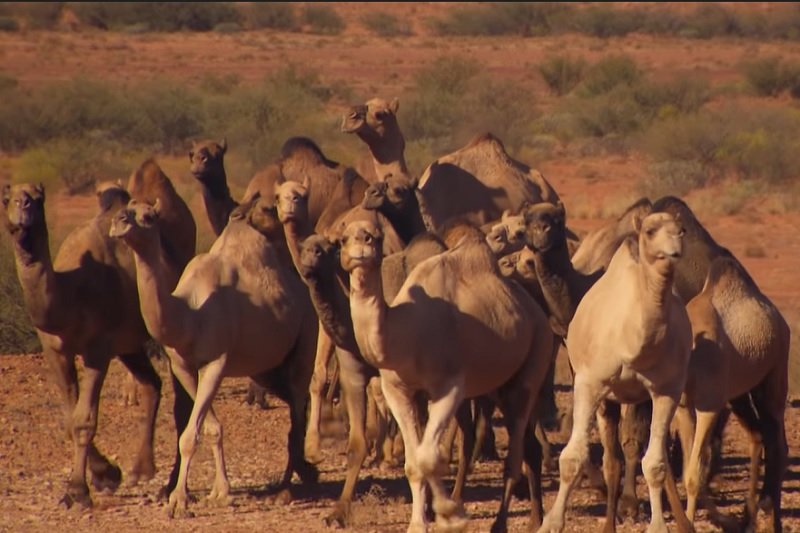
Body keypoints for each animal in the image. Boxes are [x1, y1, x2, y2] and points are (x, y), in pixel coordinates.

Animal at [1, 182, 164, 508]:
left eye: (38, 198)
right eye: (6, 198)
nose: (24, 207)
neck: (69, 294)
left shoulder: (97, 349)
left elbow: (84, 420)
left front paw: (78, 490)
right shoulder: (55, 351)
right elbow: (69, 418)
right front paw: (106, 475)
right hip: (129, 346)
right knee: (152, 383)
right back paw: (141, 470)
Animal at [110, 197, 322, 516]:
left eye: (148, 217)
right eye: (126, 207)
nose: (119, 221)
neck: (189, 315)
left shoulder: (215, 363)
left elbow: (190, 435)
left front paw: (178, 501)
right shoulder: (183, 367)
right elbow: (211, 428)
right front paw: (220, 492)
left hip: (307, 336)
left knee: (296, 412)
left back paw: (285, 489)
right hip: (266, 368)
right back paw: (306, 472)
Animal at [340, 217, 552, 532]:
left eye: (376, 237)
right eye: (342, 238)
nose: (362, 244)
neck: (405, 332)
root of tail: (538, 312)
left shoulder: (449, 386)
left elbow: (428, 458)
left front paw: (451, 513)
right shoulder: (397, 390)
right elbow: (413, 464)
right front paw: (418, 524)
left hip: (535, 358)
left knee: (513, 458)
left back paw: (501, 524)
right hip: (499, 384)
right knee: (529, 446)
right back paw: (535, 519)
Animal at [536, 211, 692, 532]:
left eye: (682, 230)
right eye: (650, 231)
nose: (674, 248)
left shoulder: (667, 389)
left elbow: (655, 463)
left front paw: (658, 525)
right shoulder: (589, 382)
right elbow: (572, 458)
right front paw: (551, 523)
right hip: (604, 397)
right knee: (609, 460)